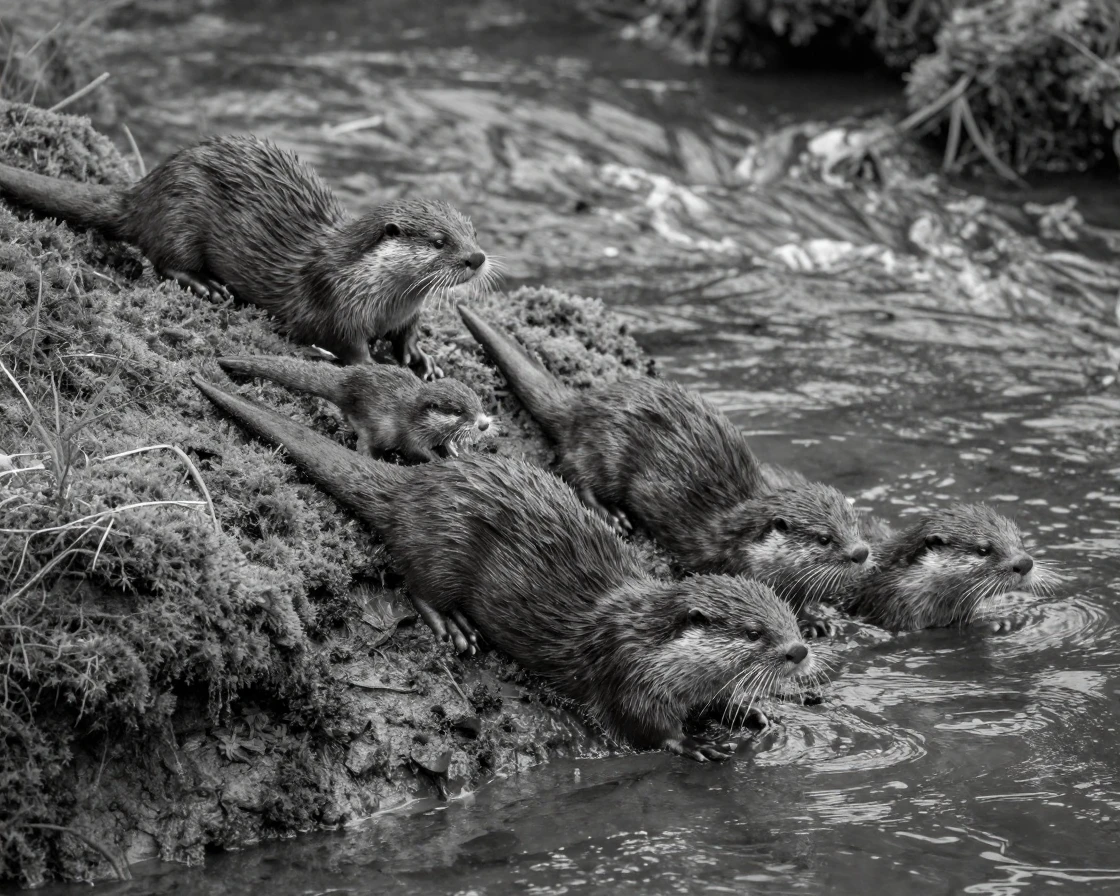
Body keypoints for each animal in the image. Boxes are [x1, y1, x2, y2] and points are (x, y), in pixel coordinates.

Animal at [0, 134, 496, 378]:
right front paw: (377, 367)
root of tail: (143, 191)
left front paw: (422, 359)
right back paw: (207, 286)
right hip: (180, 212)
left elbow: (409, 333)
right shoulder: (333, 302)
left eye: (472, 231)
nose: (477, 258)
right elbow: (345, 345)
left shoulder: (406, 312)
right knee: (163, 259)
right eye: (439, 241)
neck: (373, 289)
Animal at [192, 376, 819, 761]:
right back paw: (454, 628)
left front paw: (751, 717)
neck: (651, 647)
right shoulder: (628, 675)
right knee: (417, 582)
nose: (799, 650)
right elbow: (644, 729)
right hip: (444, 547)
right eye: (754, 634)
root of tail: (416, 486)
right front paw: (692, 744)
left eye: (790, 620)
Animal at [217, 355, 493, 462]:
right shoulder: (410, 433)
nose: (484, 424)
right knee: (363, 441)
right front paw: (436, 459)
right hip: (371, 424)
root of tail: (345, 381)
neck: (418, 418)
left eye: (478, 404)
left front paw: (457, 452)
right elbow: (416, 450)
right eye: (458, 412)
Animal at [456, 305, 872, 620]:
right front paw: (810, 618)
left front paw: (817, 615)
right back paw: (611, 515)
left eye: (854, 525)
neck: (742, 538)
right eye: (825, 538)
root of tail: (583, 405)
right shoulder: (738, 566)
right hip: (606, 448)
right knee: (573, 470)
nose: (861, 552)